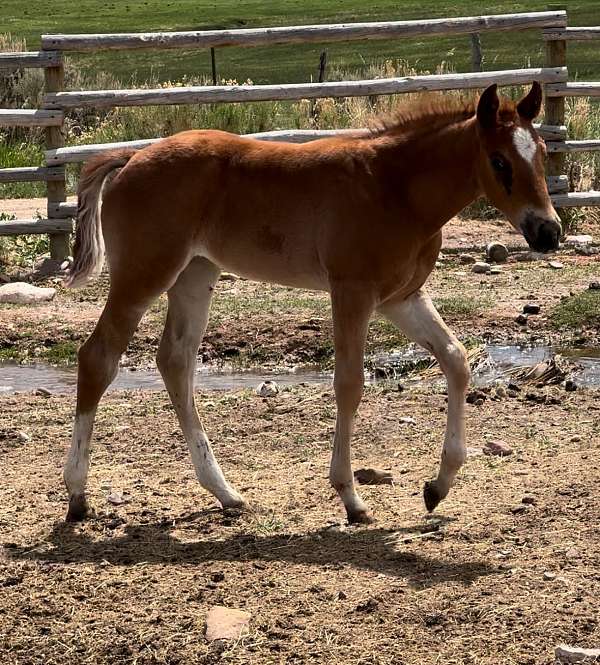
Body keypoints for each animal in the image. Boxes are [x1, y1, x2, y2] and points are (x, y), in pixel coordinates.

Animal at [65, 80, 564, 520]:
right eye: (499, 161)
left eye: (542, 153)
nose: (548, 232)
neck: (395, 189)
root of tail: (132, 156)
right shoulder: (352, 292)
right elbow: (350, 384)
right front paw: (351, 498)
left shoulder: (401, 297)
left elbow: (456, 360)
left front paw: (437, 487)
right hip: (143, 275)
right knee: (98, 357)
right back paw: (77, 495)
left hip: (195, 275)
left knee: (176, 362)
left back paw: (225, 493)